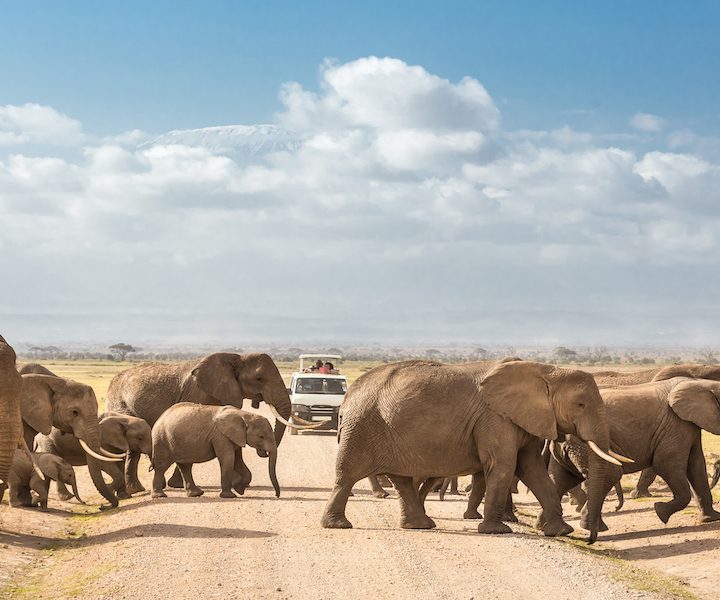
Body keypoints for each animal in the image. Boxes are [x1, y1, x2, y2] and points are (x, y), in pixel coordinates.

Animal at [150, 406, 280, 500]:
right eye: (261, 436)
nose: (276, 496)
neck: (244, 415)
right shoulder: (220, 436)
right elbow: (228, 458)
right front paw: (230, 496)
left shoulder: (236, 437)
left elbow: (238, 461)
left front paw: (239, 489)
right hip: (162, 440)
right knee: (162, 467)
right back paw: (160, 496)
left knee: (185, 466)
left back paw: (196, 494)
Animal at [320, 358, 624, 548]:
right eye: (581, 404)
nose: (590, 539)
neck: (547, 371)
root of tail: (348, 395)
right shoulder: (495, 418)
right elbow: (504, 466)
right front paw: (497, 531)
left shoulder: (522, 420)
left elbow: (531, 469)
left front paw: (561, 531)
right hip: (362, 427)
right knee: (347, 476)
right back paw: (338, 525)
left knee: (402, 480)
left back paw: (421, 525)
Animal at [548, 378, 720, 532]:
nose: (616, 508)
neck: (703, 383)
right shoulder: (676, 425)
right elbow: (665, 464)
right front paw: (660, 512)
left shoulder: (689, 425)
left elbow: (696, 466)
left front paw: (711, 518)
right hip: (584, 442)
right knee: (609, 474)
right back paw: (591, 528)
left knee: (560, 478)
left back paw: (560, 529)